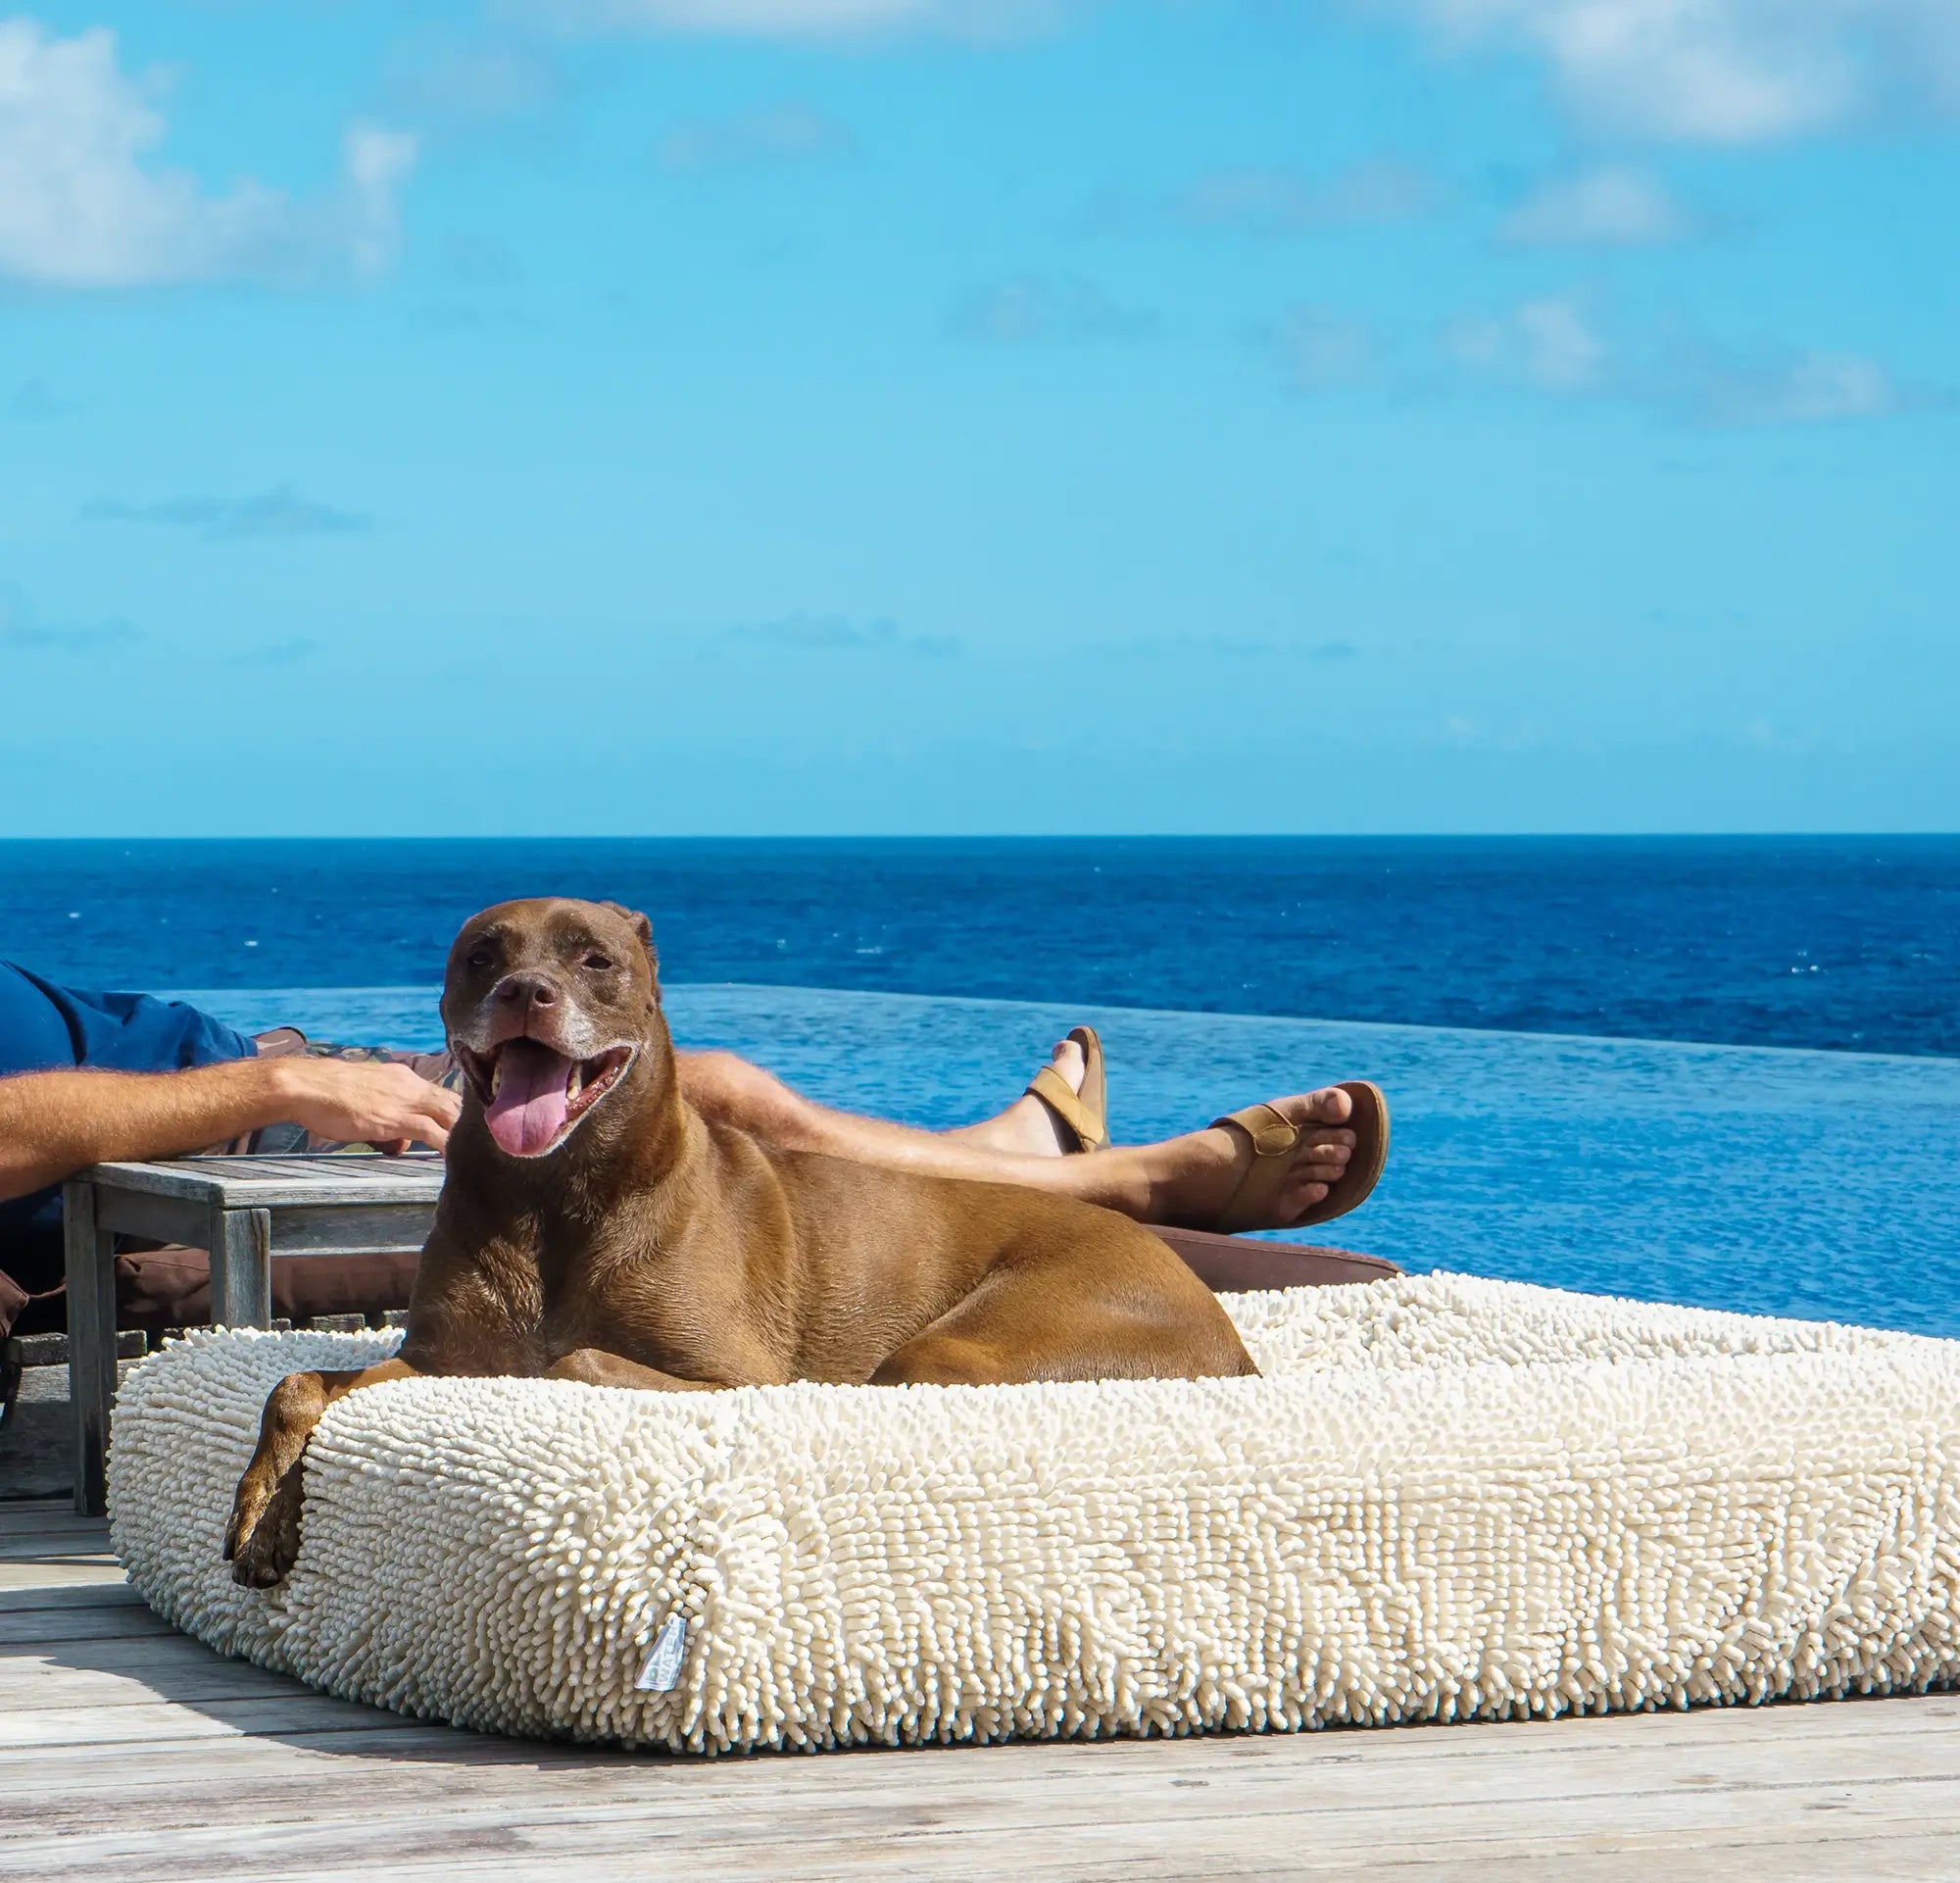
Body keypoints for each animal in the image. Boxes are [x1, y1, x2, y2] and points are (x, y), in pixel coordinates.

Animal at [222, 898, 1247, 1584]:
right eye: (481, 955)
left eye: (595, 959)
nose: (525, 992)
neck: (553, 1198)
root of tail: (1233, 1337)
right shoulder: (443, 1357)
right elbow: (298, 1383)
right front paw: (265, 1514)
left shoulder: (734, 1373)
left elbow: (571, 1361)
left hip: (971, 1342)